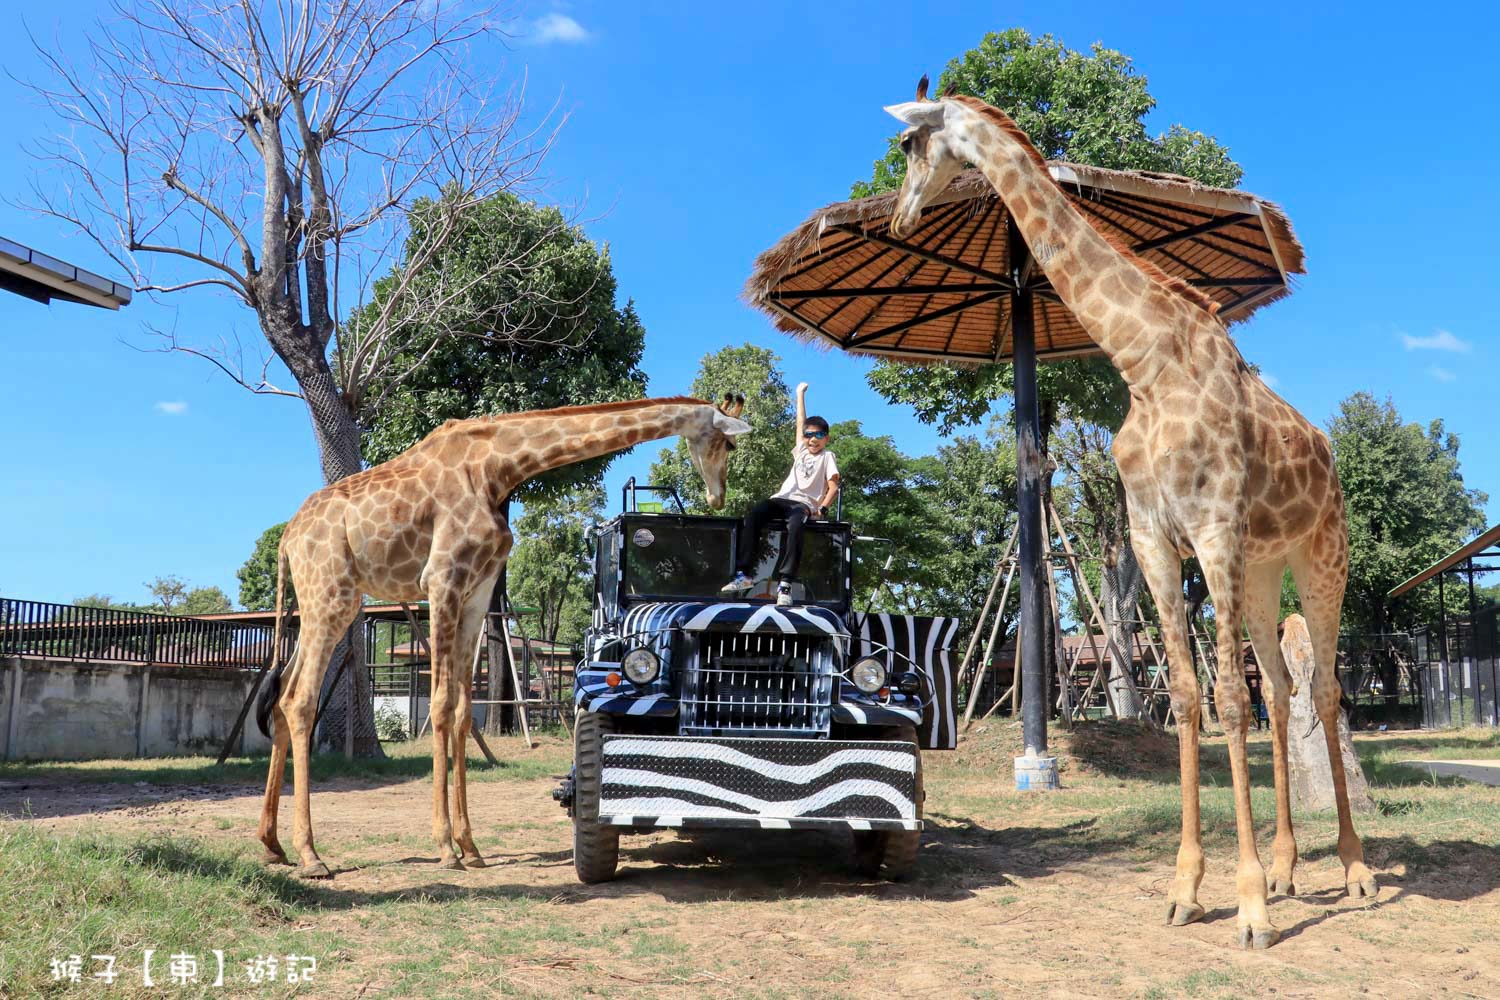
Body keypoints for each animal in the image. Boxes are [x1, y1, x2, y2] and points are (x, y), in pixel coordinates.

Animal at [255, 395, 762, 881]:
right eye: (727, 443)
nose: (718, 496)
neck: (496, 469)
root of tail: (286, 539)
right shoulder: (442, 579)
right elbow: (441, 705)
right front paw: (445, 848)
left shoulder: (478, 591)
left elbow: (462, 712)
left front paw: (471, 848)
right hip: (331, 594)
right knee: (300, 699)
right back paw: (310, 855)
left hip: (319, 601)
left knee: (281, 696)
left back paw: (272, 845)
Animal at [882, 83, 1374, 947]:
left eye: (909, 148)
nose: (899, 220)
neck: (1144, 363)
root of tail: (1326, 455)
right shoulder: (1153, 538)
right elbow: (1184, 695)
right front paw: (1188, 889)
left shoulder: (1211, 528)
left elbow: (1228, 698)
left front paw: (1248, 906)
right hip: (1261, 571)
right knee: (1282, 690)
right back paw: (1289, 869)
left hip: (1322, 556)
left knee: (1322, 693)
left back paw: (1351, 871)